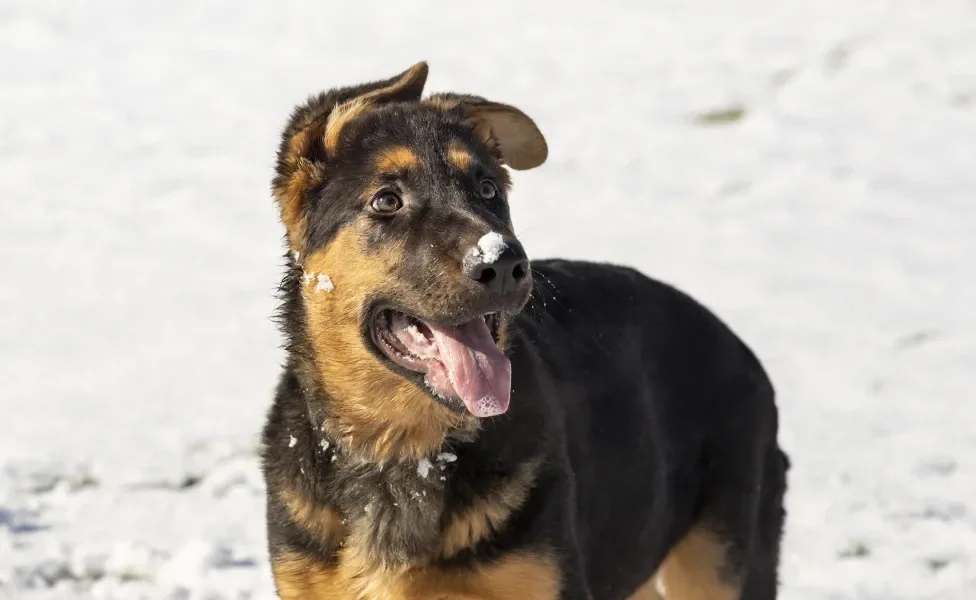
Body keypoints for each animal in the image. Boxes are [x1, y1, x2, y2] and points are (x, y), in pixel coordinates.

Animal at [258, 62, 784, 600]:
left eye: (488, 189)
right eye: (386, 200)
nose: (505, 264)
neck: (405, 449)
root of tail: (742, 350)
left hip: (720, 563)